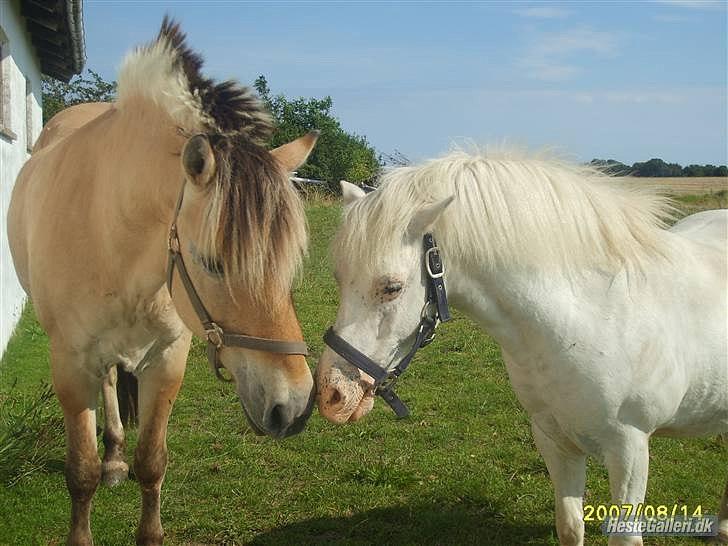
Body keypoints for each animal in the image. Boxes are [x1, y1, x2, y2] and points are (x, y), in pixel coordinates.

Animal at [8, 19, 318, 546]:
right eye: (212, 263)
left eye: (289, 262)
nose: (293, 407)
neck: (110, 230)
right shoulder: (69, 366)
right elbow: (80, 472)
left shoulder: (169, 358)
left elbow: (153, 462)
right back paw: (112, 459)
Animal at [315, 150, 728, 546]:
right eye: (339, 277)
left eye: (392, 287)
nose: (332, 395)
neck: (592, 314)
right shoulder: (554, 439)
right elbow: (569, 527)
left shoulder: (629, 450)